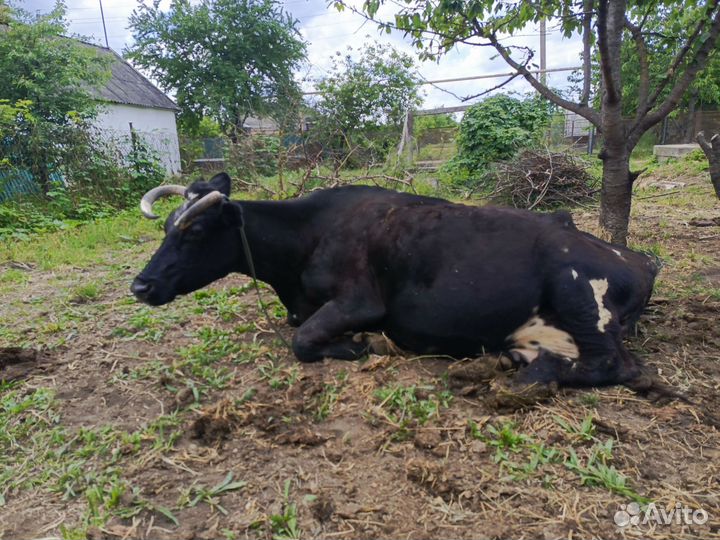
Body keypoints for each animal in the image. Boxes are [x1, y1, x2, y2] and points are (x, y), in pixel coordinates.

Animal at [131, 172, 659, 391]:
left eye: (195, 230)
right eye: (165, 228)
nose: (140, 286)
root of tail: (640, 259)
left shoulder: (361, 303)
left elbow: (302, 342)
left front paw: (359, 345)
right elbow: (299, 331)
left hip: (578, 294)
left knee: (616, 367)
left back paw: (517, 382)